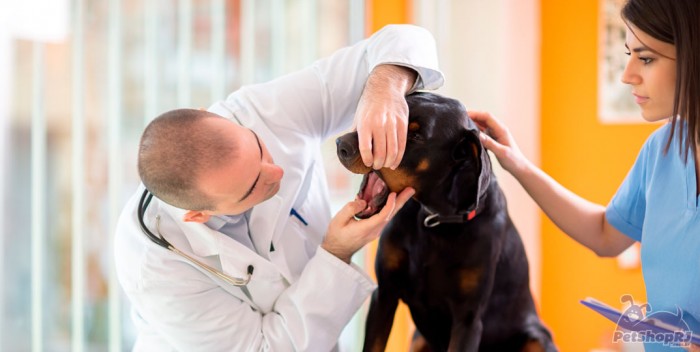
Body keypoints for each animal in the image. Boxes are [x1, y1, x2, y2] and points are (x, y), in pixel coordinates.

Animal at [336, 92, 556, 350]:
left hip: (537, 338)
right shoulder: (385, 294)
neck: (435, 220)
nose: (342, 145)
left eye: (415, 136)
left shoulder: (468, 319)